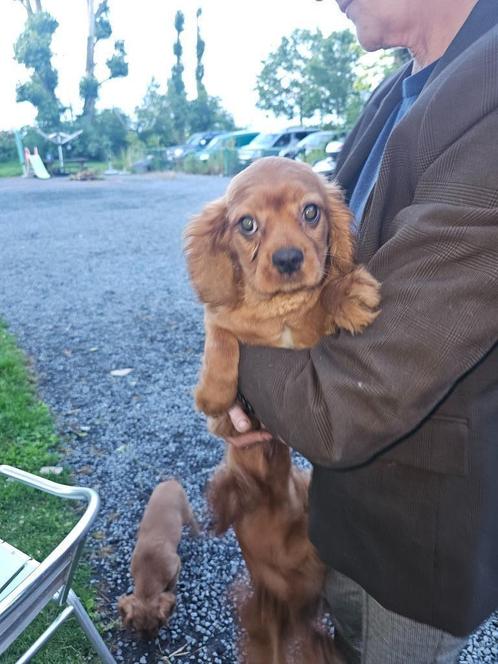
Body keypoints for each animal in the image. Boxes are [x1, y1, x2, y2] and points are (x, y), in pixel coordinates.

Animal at [118, 480, 198, 640]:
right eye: (137, 628)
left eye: (156, 627)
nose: (147, 642)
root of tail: (171, 480)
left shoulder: (176, 564)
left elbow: (171, 585)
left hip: (186, 511)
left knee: (193, 520)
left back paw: (197, 533)